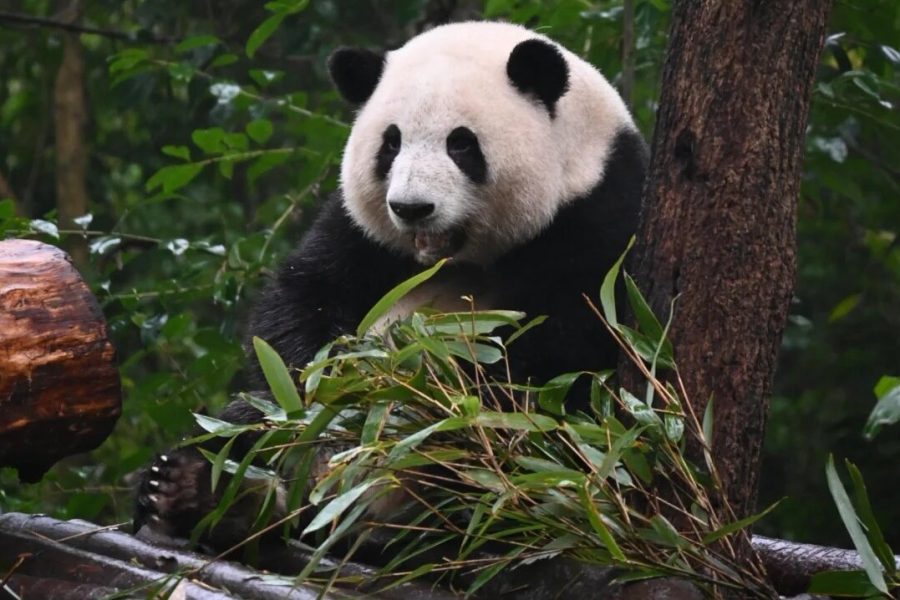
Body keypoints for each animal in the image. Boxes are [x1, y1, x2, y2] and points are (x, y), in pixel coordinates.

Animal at [134, 21, 648, 551]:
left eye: (461, 144)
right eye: (391, 144)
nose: (412, 208)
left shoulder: (597, 217)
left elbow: (557, 352)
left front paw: (426, 392)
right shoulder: (362, 232)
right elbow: (303, 307)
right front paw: (353, 382)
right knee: (247, 424)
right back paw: (196, 489)